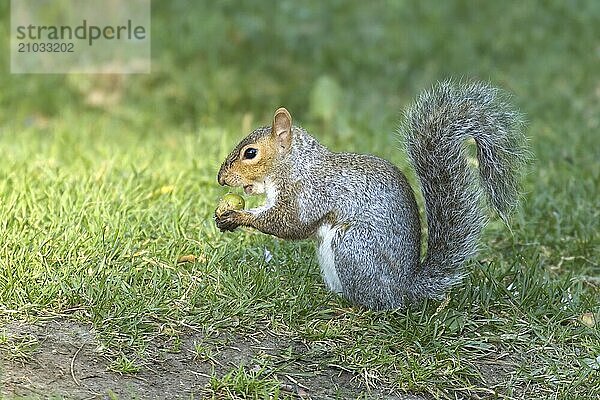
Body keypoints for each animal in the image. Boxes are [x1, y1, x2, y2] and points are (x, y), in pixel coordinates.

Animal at [216, 80, 528, 310]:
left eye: (250, 153)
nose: (221, 178)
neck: (297, 166)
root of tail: (404, 288)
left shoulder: (310, 194)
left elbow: (289, 223)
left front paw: (236, 216)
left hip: (352, 247)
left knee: (376, 303)